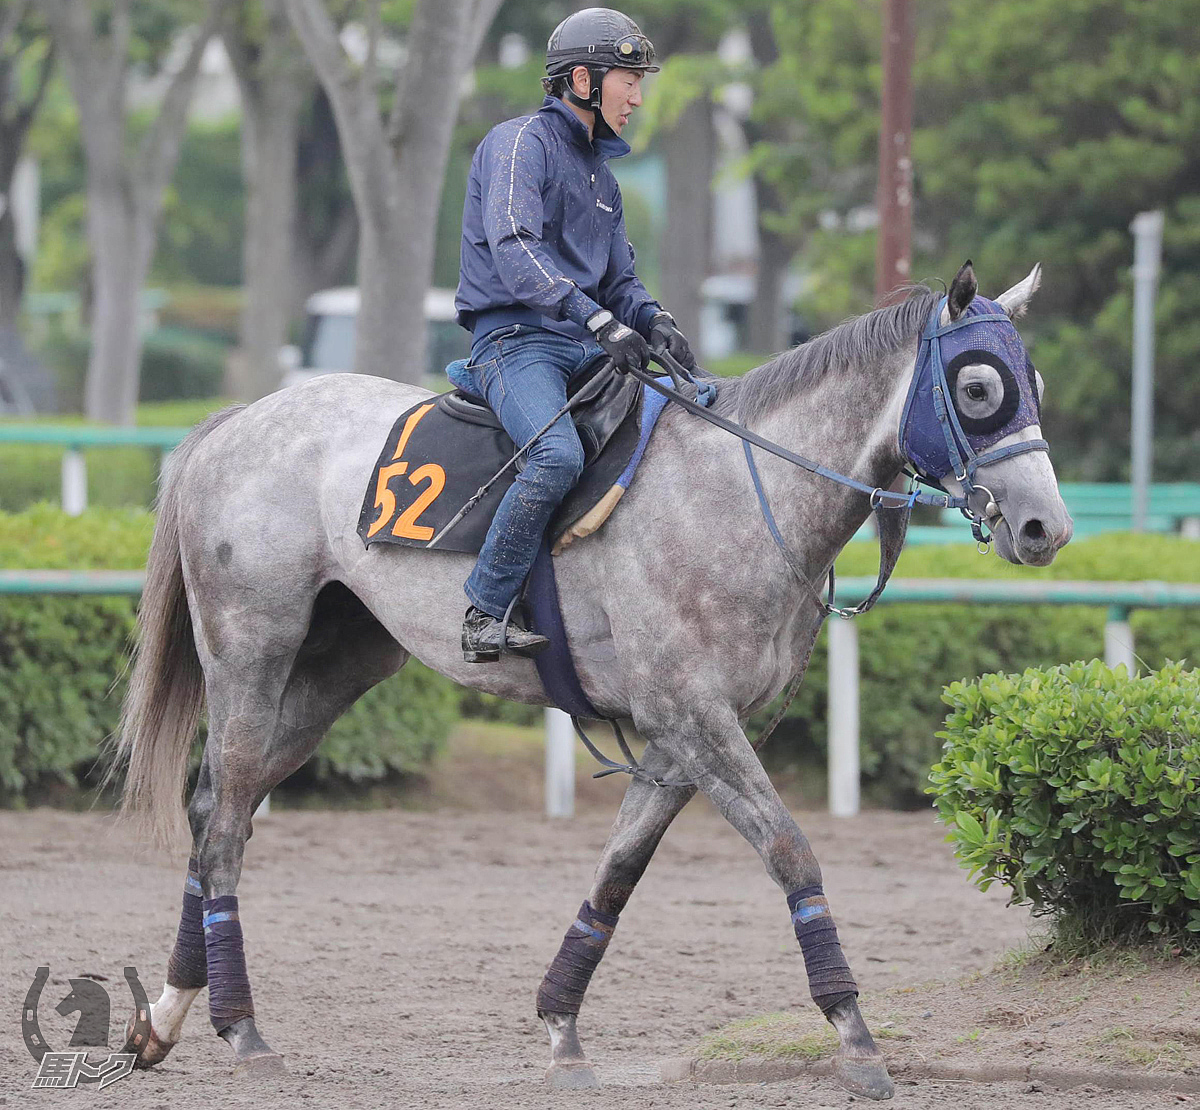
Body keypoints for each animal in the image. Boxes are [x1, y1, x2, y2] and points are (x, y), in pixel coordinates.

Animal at [110, 261, 1070, 1099]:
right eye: (980, 388)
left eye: (1035, 383)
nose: (1045, 528)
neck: (738, 490)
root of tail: (240, 419)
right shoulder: (696, 718)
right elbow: (790, 852)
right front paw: (856, 1035)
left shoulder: (683, 739)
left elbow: (617, 874)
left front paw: (562, 1029)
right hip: (251, 651)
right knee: (227, 817)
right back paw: (240, 1027)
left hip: (335, 670)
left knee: (215, 807)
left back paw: (170, 1011)